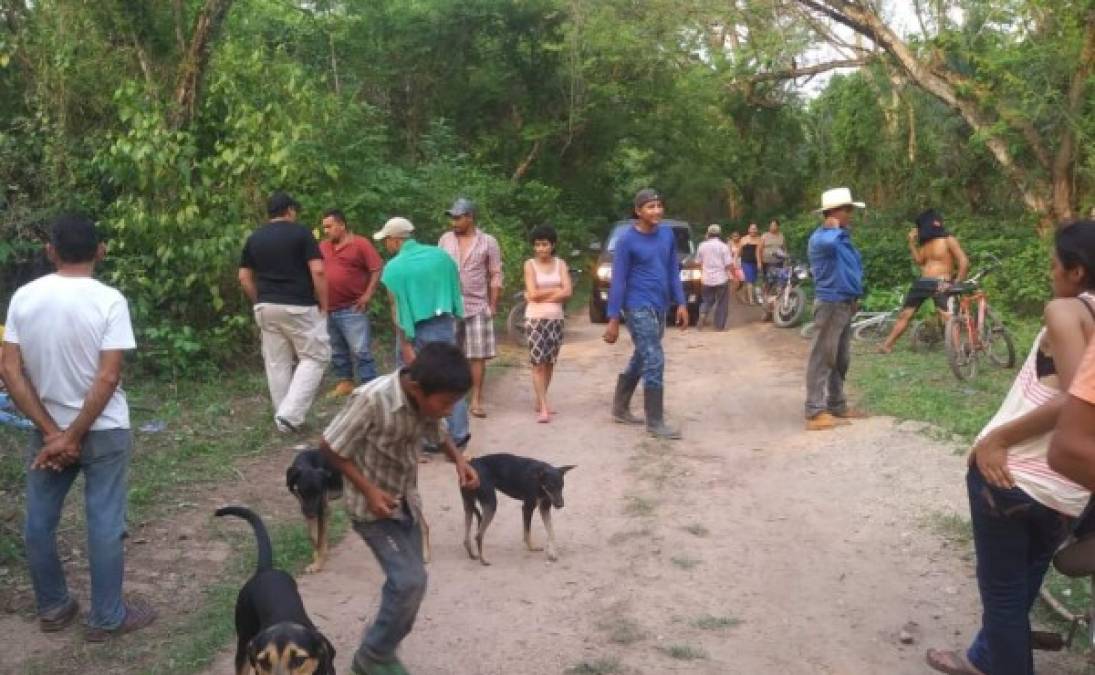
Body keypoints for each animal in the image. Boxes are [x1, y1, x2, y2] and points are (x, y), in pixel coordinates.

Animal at [286, 444, 341, 574]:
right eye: (302, 492)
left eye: (318, 493)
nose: (311, 514)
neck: (308, 462)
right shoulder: (306, 508)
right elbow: (314, 537)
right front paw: (319, 555)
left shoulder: (322, 510)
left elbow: (320, 538)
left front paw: (318, 564)